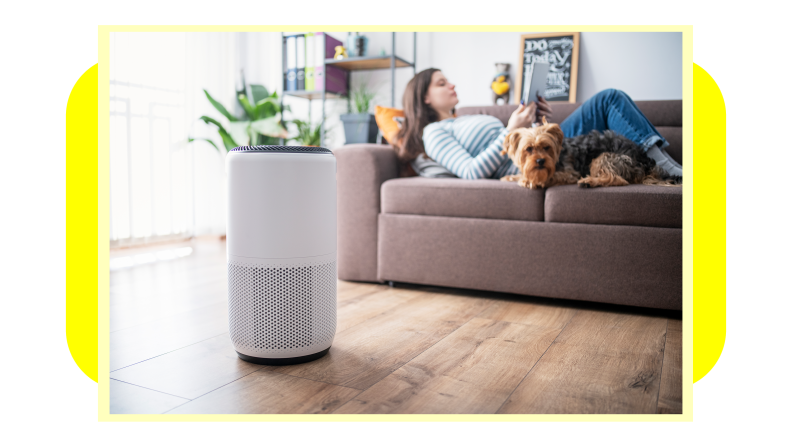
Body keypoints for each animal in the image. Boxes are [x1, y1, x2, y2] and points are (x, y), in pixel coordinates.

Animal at [502, 116, 680, 188]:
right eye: (529, 149)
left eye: (546, 147)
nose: (540, 161)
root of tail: (645, 160)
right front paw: (511, 177)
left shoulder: (569, 173)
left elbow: (550, 176)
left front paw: (532, 181)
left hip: (604, 157)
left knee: (618, 179)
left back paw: (590, 181)